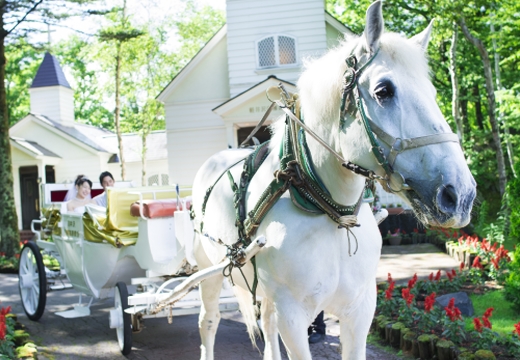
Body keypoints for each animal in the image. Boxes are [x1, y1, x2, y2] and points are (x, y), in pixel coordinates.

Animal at [190, 1, 476, 358]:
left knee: (265, 324)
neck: (330, 214)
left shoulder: (361, 310)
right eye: (383, 91)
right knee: (209, 321)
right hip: (209, 272)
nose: (460, 194)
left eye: (433, 92)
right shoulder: (292, 316)